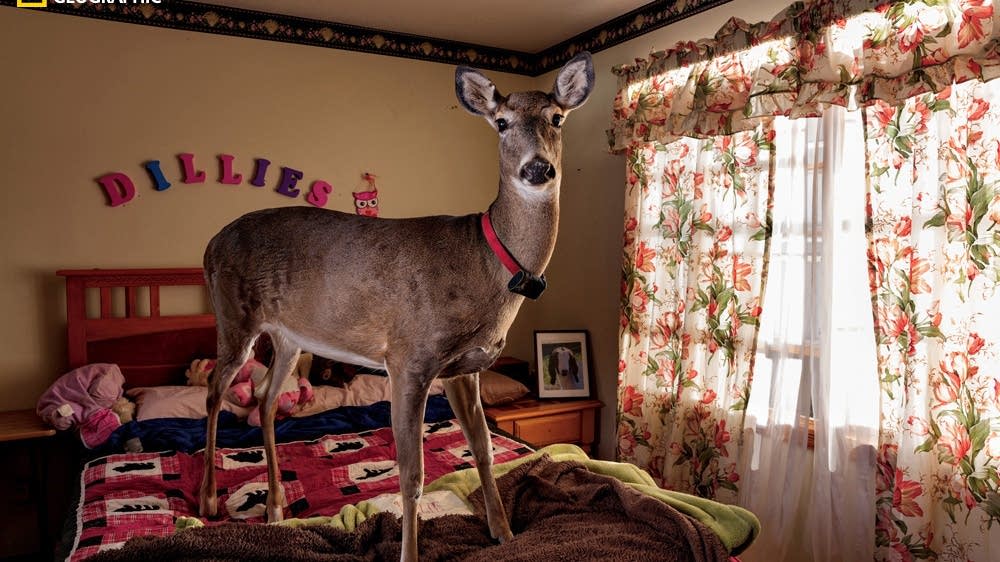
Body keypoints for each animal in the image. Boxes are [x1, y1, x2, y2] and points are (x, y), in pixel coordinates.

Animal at [198, 52, 595, 562]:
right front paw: (410, 553)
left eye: (556, 118)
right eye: (502, 122)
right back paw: (210, 498)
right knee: (214, 390)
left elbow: (483, 448)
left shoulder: (465, 368)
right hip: (234, 315)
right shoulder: (409, 356)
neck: (486, 265)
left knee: (266, 400)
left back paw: (276, 504)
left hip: (288, 336)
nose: (538, 169)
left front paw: (503, 532)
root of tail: (210, 245)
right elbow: (412, 474)